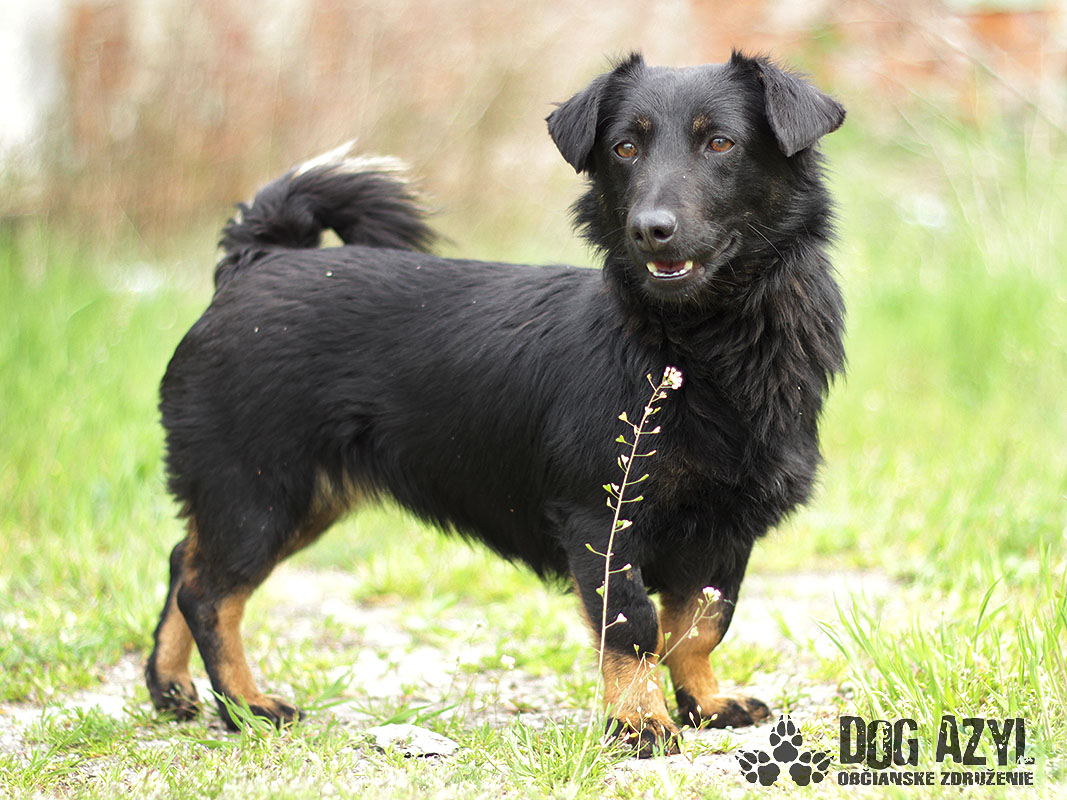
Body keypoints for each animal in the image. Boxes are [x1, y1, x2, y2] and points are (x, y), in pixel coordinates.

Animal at [146, 51, 845, 757]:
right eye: (624, 148)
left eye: (721, 143)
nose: (651, 230)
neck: (698, 343)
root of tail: (257, 260)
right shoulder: (602, 521)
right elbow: (634, 627)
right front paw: (639, 723)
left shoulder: (726, 532)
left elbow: (699, 625)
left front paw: (704, 703)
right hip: (260, 491)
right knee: (209, 592)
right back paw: (246, 704)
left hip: (301, 496)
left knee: (184, 561)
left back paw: (170, 686)